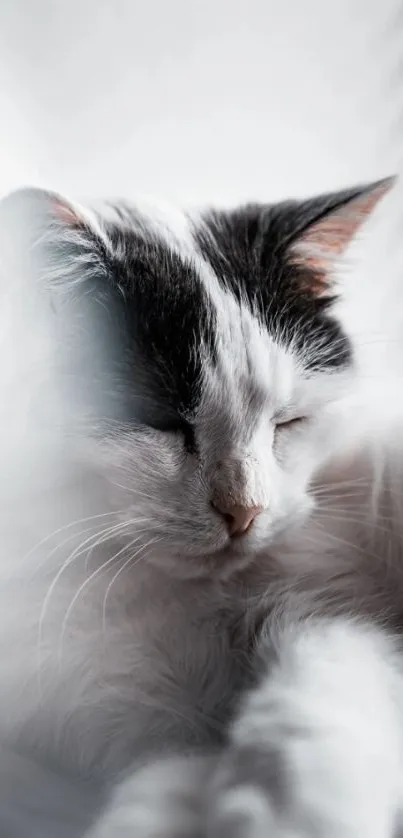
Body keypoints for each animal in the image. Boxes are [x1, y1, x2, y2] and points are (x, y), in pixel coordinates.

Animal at [0, 179, 402, 838]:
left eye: (287, 421)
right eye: (161, 422)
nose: (244, 512)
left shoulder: (329, 610)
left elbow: (318, 691)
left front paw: (296, 811)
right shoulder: (135, 728)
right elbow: (157, 791)